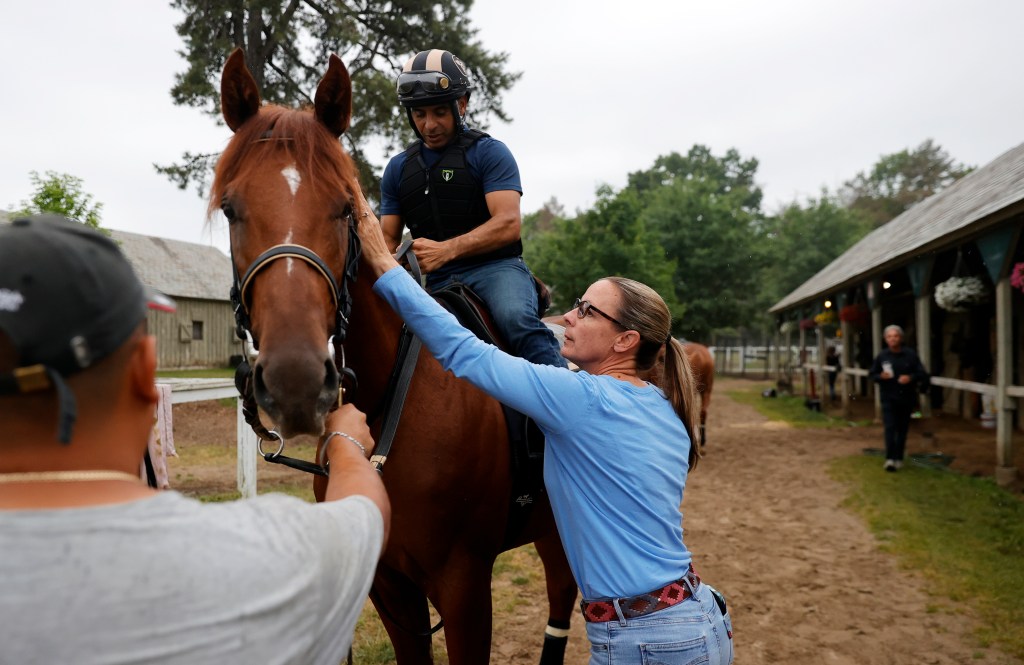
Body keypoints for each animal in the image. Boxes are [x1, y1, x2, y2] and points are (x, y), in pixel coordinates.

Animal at [210, 49, 577, 659]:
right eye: (231, 209)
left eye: (343, 209)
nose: (294, 380)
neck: (394, 404)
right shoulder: (389, 586)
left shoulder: (465, 588)